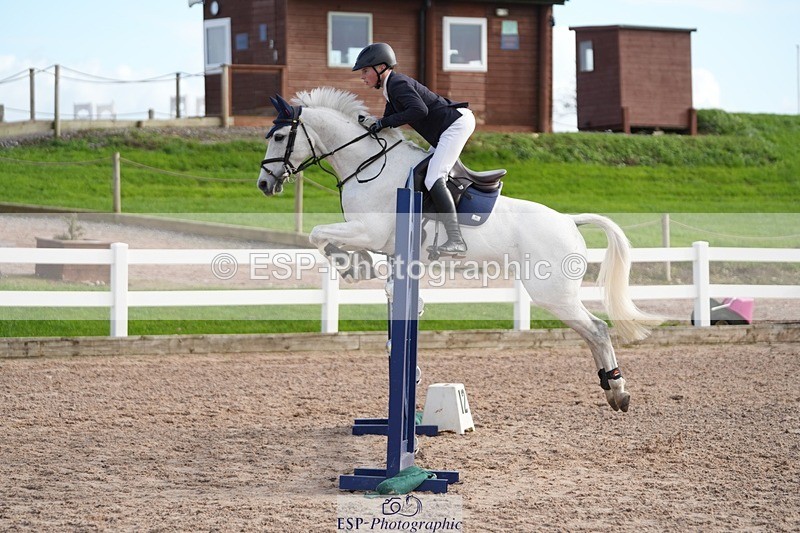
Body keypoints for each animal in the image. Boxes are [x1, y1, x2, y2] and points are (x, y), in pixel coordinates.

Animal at [257, 86, 658, 412]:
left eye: (279, 136)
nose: (264, 183)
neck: (368, 166)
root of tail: (570, 221)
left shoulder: (369, 231)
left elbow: (317, 234)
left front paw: (351, 264)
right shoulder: (382, 244)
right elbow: (333, 244)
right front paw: (355, 266)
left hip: (552, 293)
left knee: (598, 330)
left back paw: (619, 391)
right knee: (591, 332)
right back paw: (610, 389)